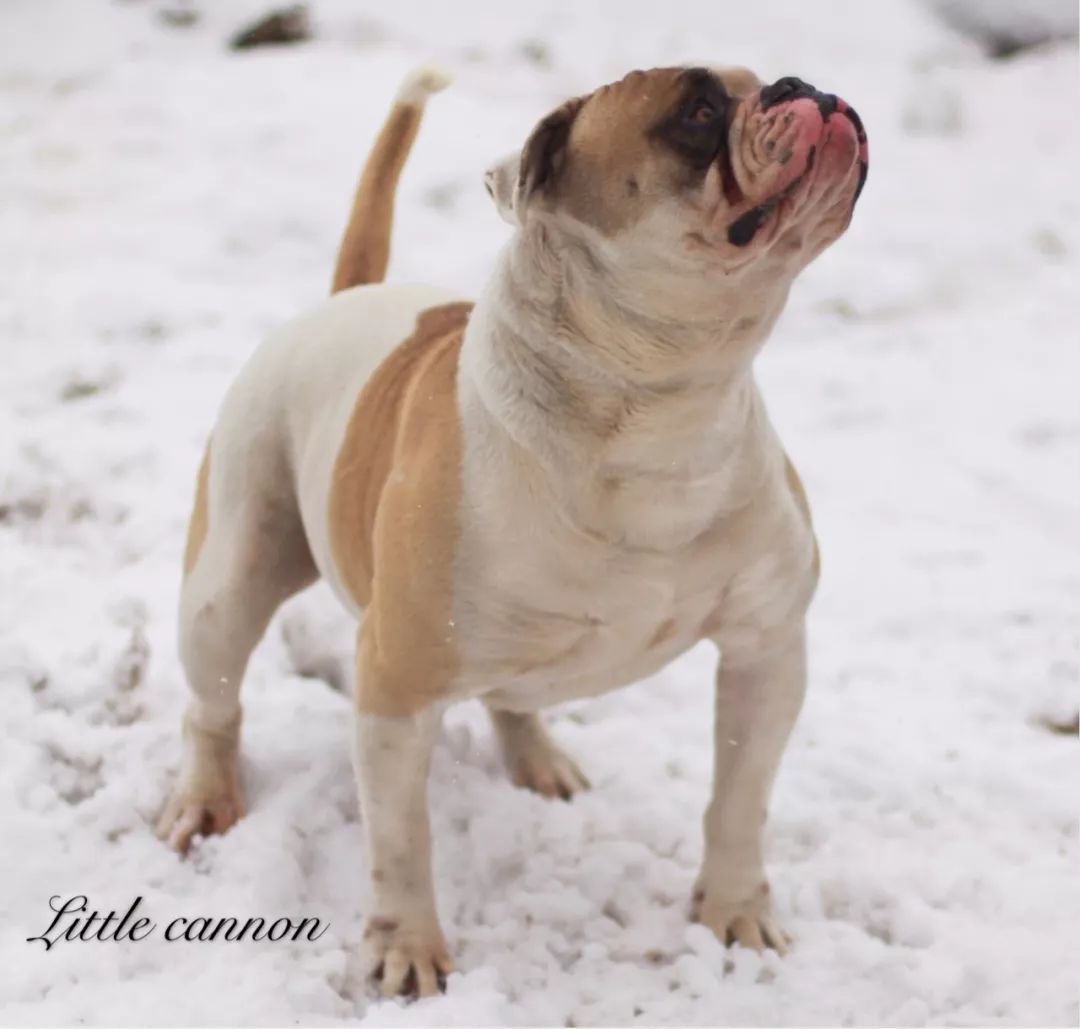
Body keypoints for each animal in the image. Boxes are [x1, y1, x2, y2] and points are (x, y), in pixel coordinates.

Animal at [157, 64, 868, 997]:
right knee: (214, 698)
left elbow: (741, 796)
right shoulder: (396, 684)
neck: (660, 402)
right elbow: (400, 837)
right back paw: (206, 797)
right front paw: (406, 947)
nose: (807, 86)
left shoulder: (766, 646)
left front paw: (736, 912)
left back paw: (539, 759)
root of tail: (348, 297)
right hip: (231, 570)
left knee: (512, 693)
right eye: (698, 109)